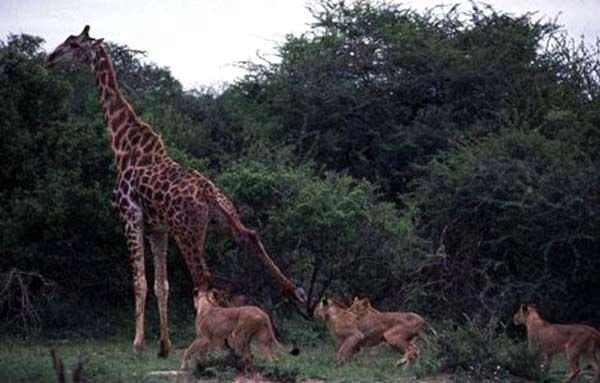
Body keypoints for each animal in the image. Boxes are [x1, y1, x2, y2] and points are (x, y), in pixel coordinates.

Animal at [47, 25, 304, 358]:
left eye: (73, 44)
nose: (50, 58)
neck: (124, 147)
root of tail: (208, 195)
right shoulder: (158, 228)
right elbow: (162, 284)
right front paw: (163, 345)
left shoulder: (130, 216)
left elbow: (140, 281)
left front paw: (138, 343)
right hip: (223, 220)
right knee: (250, 237)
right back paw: (294, 293)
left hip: (189, 232)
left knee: (204, 280)